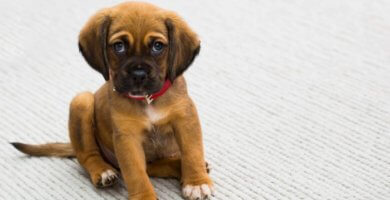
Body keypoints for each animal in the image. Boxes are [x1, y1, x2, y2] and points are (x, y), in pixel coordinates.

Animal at [11, 1, 213, 200]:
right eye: (119, 46)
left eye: (157, 46)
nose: (139, 74)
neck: (147, 99)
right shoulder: (127, 137)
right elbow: (136, 174)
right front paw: (144, 196)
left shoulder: (186, 120)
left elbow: (192, 153)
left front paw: (196, 182)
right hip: (81, 101)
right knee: (87, 155)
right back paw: (103, 171)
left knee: (155, 166)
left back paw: (183, 166)